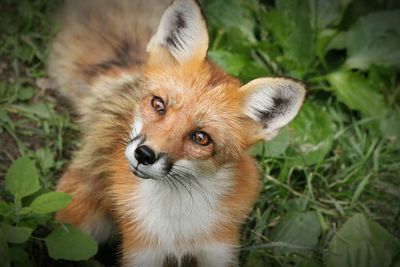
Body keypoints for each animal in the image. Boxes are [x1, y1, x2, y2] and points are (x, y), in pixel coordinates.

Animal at [50, 0, 306, 266]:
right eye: (158, 104)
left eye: (201, 138)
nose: (144, 155)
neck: (177, 228)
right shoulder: (142, 251)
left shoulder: (218, 249)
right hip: (76, 224)